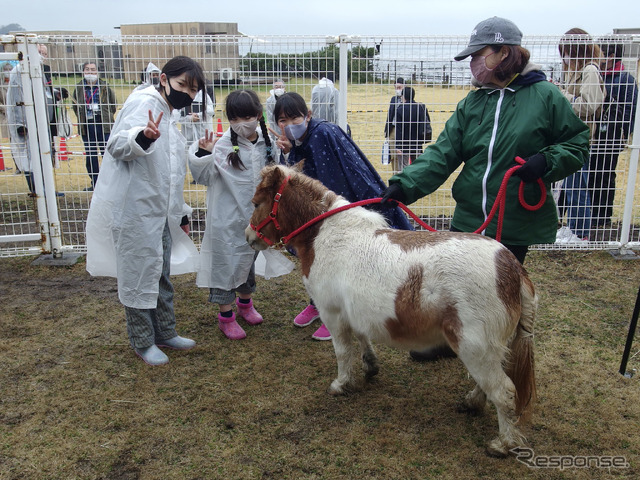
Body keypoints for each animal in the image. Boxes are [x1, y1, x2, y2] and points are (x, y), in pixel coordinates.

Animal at [245, 166, 536, 458]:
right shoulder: (355, 310)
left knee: (503, 391)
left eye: (256, 203)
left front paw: (341, 385)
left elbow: (343, 352)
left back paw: (503, 443)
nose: (249, 237)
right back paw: (472, 403)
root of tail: (511, 267)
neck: (325, 234)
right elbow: (363, 337)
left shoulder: (332, 314)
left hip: (475, 347)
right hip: (486, 348)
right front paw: (370, 366)